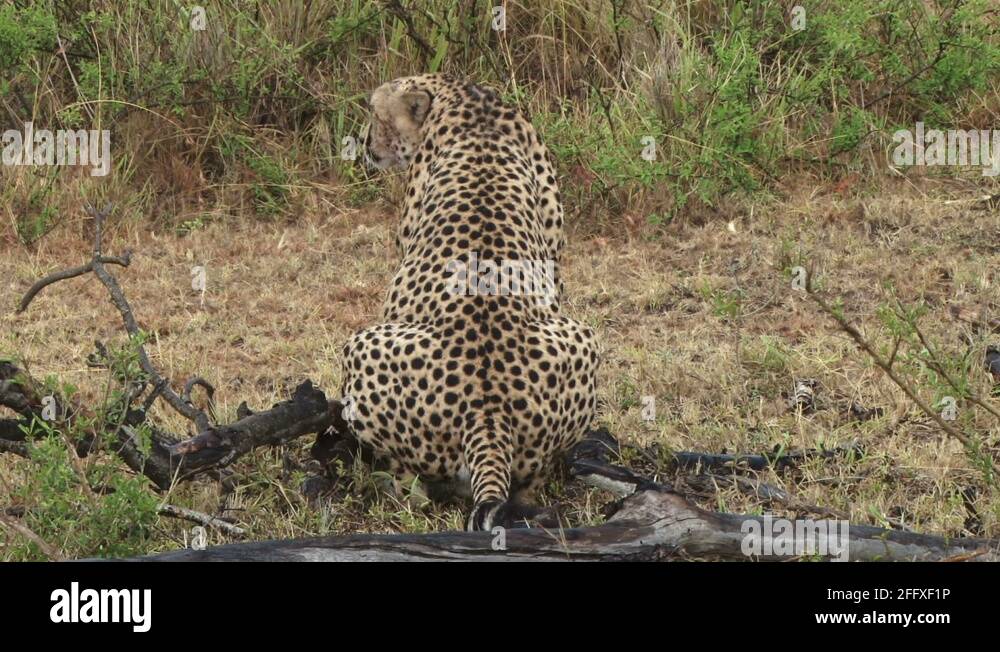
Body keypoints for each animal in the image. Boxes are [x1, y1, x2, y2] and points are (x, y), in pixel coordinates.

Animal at [340, 73, 599, 531]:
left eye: (375, 113)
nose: (366, 145)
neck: (465, 98)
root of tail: (488, 414)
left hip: (360, 345)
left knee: (414, 490)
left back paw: (386, 482)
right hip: (583, 337)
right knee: (530, 481)